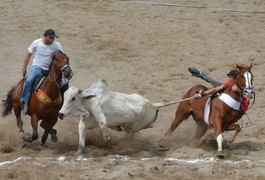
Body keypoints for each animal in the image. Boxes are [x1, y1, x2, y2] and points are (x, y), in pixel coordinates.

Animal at [58, 79, 189, 153]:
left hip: (134, 127)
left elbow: (102, 124)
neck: (90, 101)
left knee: (141, 127)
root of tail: (153, 105)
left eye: (73, 98)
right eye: (64, 96)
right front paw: (78, 153)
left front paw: (107, 137)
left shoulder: (99, 112)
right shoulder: (85, 122)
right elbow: (81, 141)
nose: (60, 113)